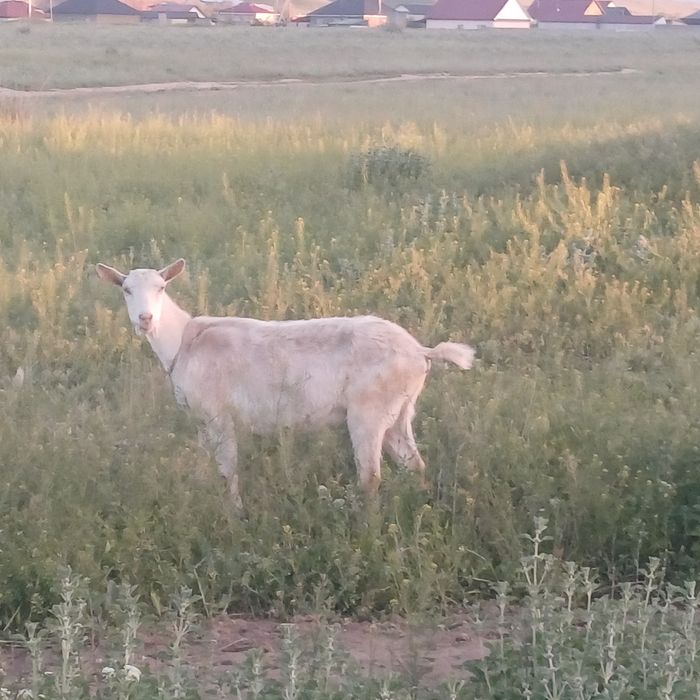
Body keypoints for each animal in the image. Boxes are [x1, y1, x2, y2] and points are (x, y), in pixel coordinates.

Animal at [96, 259, 474, 506]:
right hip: (399, 412)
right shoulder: (201, 419)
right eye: (126, 290)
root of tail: (421, 351)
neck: (184, 341)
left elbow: (228, 471)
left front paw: (234, 517)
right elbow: (207, 469)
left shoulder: (219, 416)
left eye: (161, 288)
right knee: (415, 464)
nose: (145, 319)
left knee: (370, 477)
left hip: (369, 412)